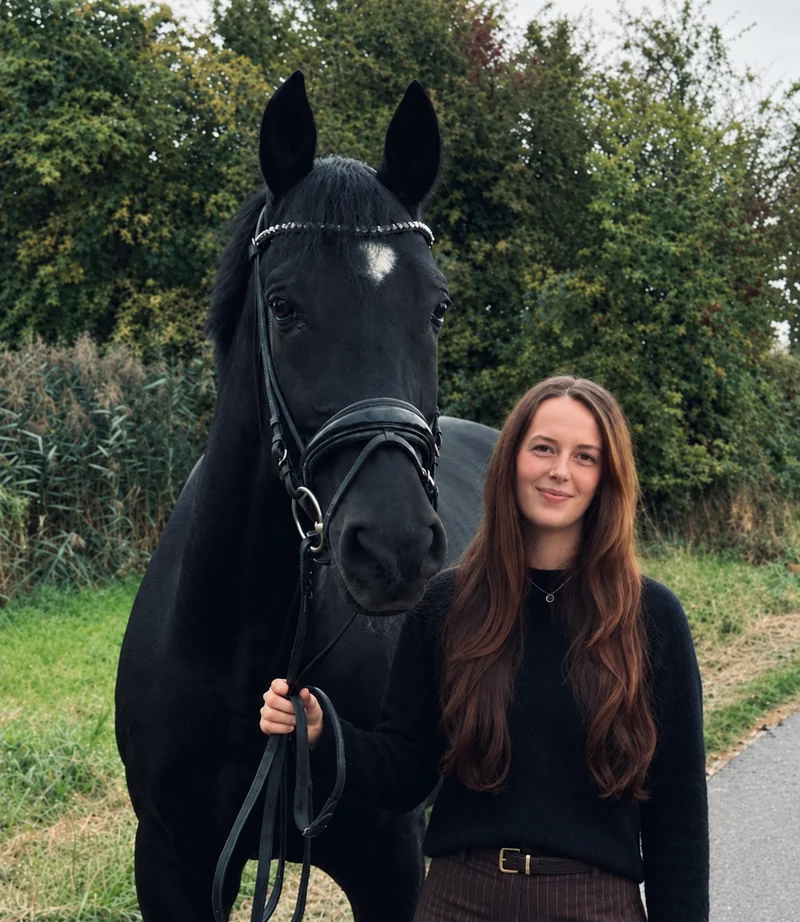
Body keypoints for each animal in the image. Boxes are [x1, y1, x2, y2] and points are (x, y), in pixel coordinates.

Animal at [115, 71, 497, 922]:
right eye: (284, 306)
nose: (393, 548)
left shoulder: (390, 864)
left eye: (438, 306)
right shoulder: (171, 862)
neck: (239, 647)